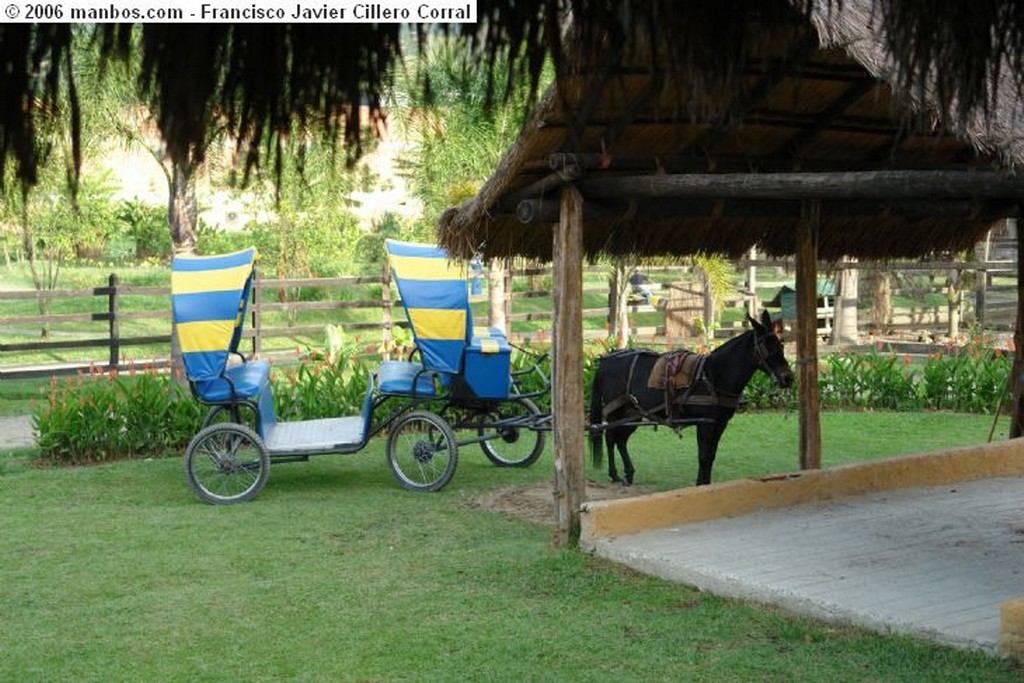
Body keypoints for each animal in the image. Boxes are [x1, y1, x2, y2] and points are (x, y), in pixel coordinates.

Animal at [589, 313, 794, 489]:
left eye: (781, 346)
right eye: (768, 348)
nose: (788, 378)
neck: (714, 375)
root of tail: (606, 360)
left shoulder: (719, 424)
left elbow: (711, 456)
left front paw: (707, 484)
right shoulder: (704, 424)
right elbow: (703, 456)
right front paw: (700, 484)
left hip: (633, 414)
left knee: (620, 439)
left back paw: (627, 473)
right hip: (617, 412)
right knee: (611, 437)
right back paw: (615, 473)